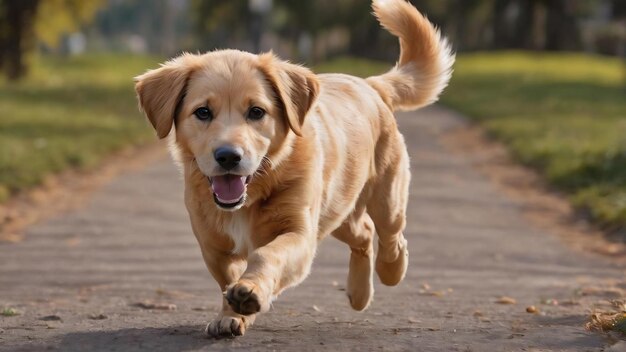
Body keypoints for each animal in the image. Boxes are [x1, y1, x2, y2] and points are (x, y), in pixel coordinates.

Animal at [134, 0, 450, 338]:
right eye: (203, 112)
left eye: (256, 112)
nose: (229, 156)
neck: (251, 196)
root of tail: (369, 84)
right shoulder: (213, 246)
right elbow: (226, 280)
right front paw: (232, 314)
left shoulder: (299, 233)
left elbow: (266, 254)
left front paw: (250, 291)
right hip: (338, 212)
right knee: (364, 232)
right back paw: (359, 293)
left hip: (384, 197)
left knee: (391, 234)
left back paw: (392, 269)